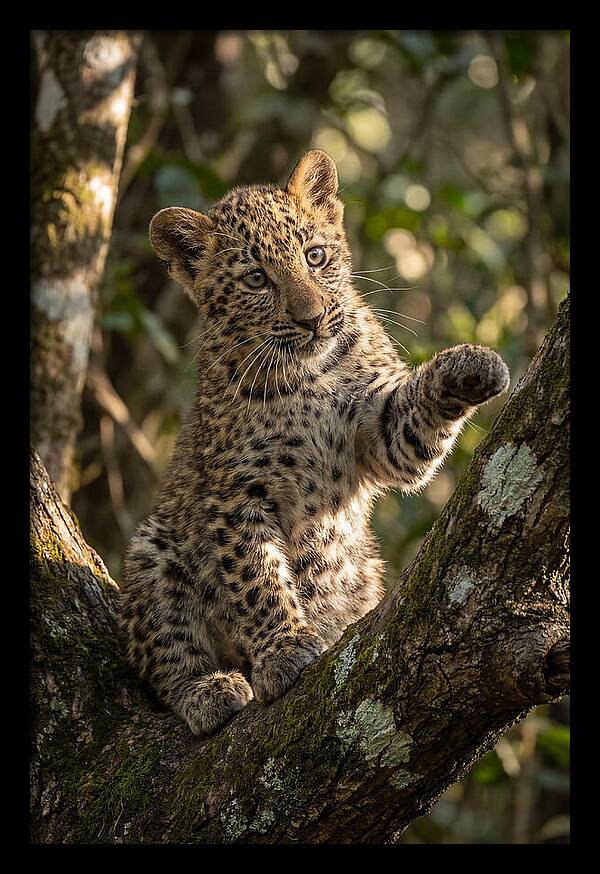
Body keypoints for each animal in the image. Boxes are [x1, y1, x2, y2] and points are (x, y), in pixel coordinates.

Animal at [119, 149, 510, 736]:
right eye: (256, 278)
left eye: (315, 255)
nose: (312, 318)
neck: (310, 377)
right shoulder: (236, 495)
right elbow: (257, 578)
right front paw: (283, 650)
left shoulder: (379, 433)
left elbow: (411, 421)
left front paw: (470, 364)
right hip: (155, 550)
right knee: (164, 657)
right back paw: (209, 690)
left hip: (364, 571)